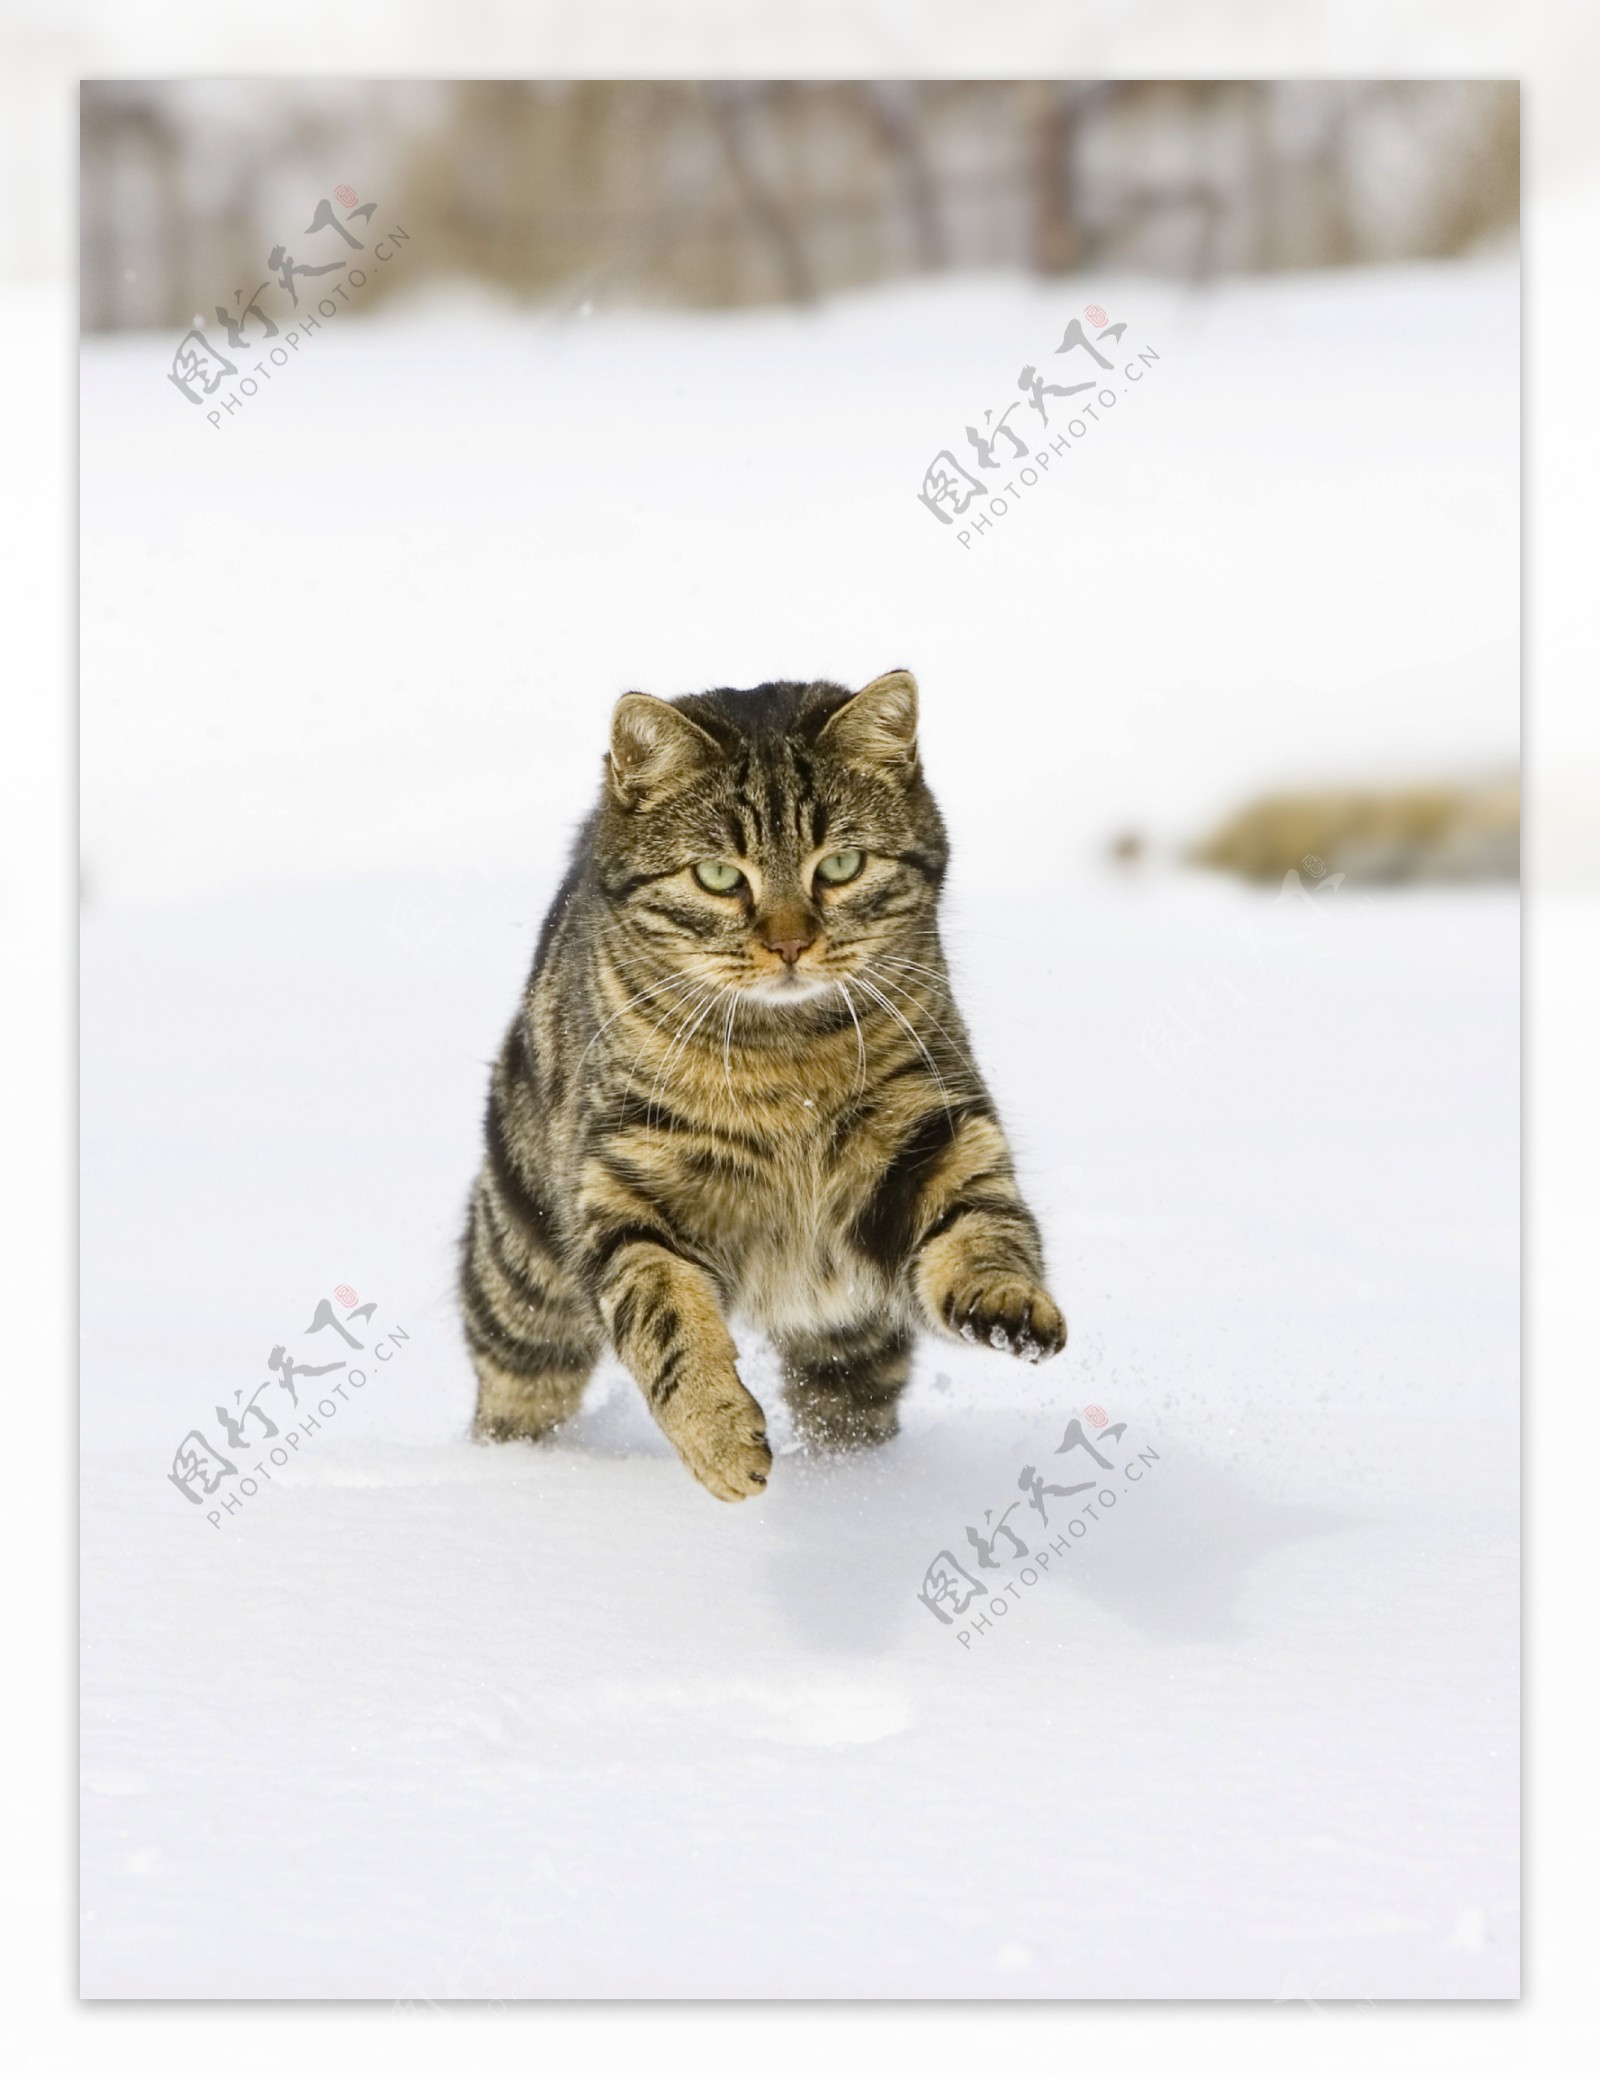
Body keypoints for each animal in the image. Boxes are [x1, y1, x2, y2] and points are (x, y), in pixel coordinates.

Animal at [457, 673, 1059, 1505]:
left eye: (840, 865)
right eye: (717, 875)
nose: (789, 943)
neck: (787, 1062)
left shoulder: (932, 1125)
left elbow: (981, 1225)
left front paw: (1008, 1300)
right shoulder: (624, 1184)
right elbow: (667, 1318)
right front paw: (719, 1437)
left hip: (851, 1333)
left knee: (849, 1402)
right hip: (522, 1270)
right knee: (517, 1388)